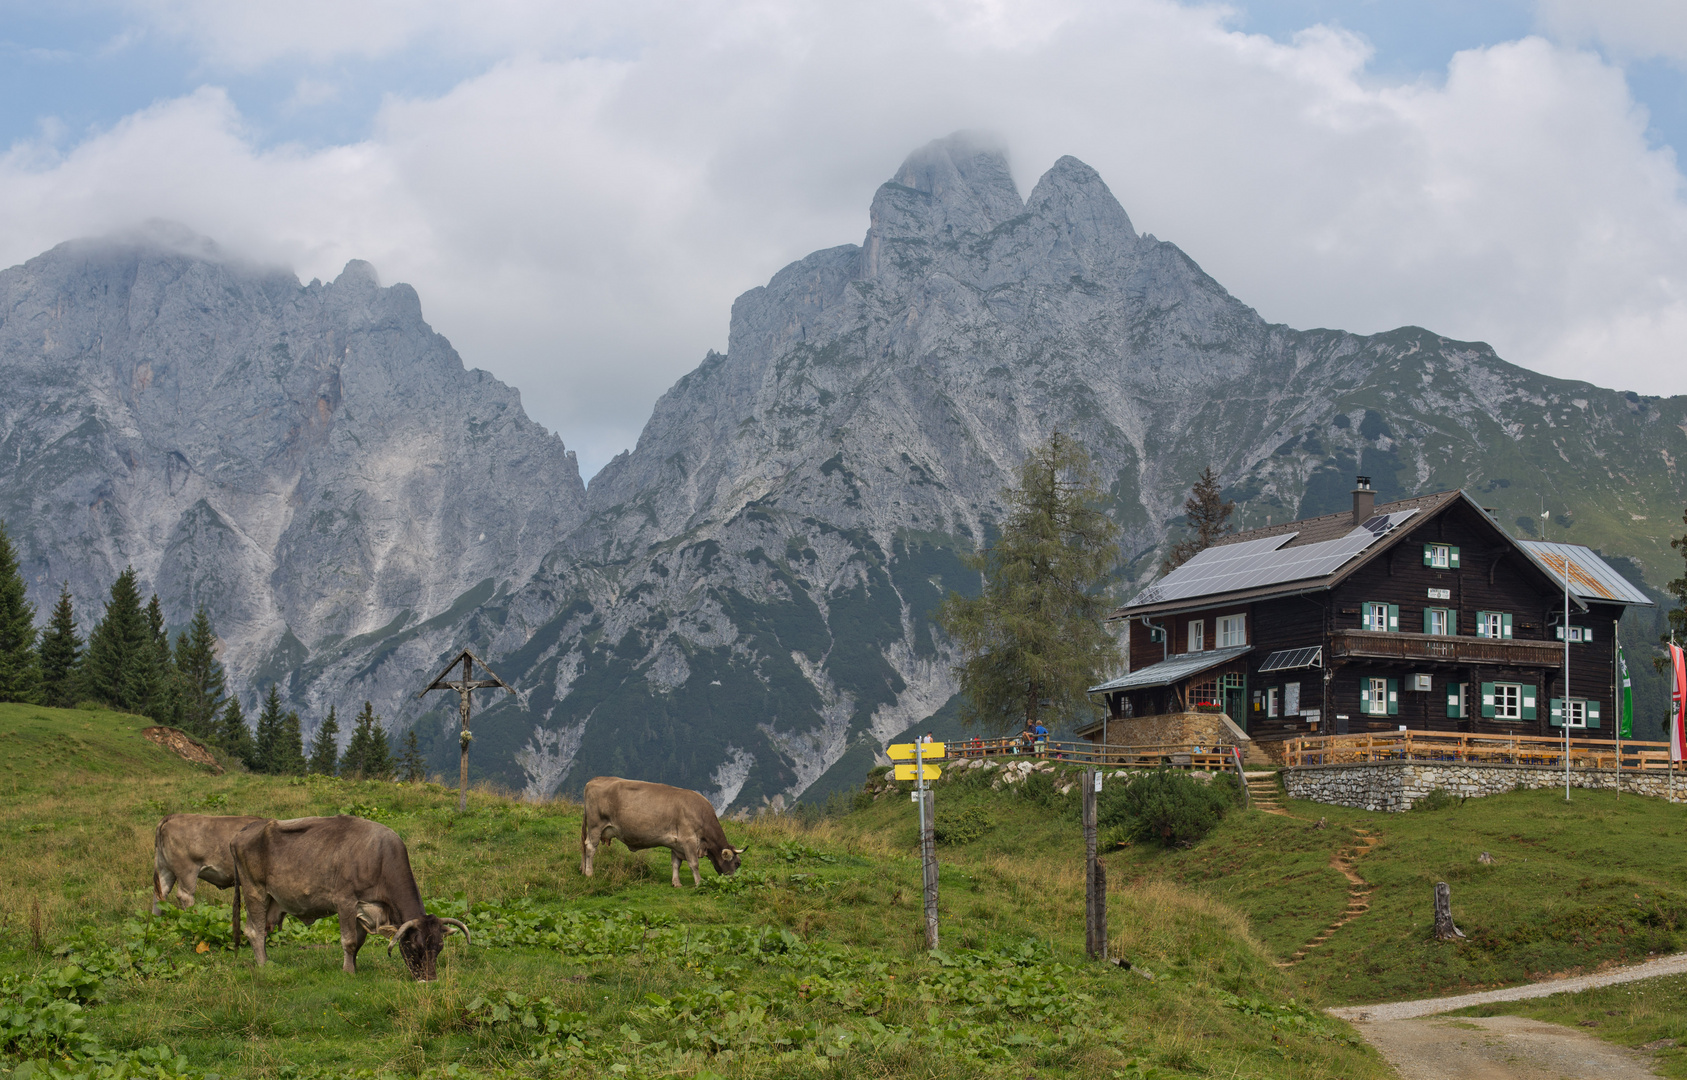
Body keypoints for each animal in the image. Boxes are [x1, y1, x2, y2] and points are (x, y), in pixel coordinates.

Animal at [227, 813, 468, 985]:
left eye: (439, 947)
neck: (380, 858)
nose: (430, 981)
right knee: (254, 931)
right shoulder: (345, 902)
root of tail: (242, 832)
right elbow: (349, 941)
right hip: (255, 891)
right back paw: (264, 965)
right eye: (415, 946)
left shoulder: (363, 909)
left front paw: (354, 967)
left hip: (272, 900)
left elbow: (358, 942)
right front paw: (348, 972)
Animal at [580, 776, 745, 884]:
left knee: (583, 845)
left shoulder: (676, 844)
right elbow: (694, 863)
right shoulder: (688, 840)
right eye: (737, 864)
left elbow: (675, 863)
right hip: (596, 826)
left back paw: (583, 869)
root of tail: (594, 780)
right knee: (590, 847)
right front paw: (699, 883)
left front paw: (676, 883)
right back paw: (589, 873)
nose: (735, 881)